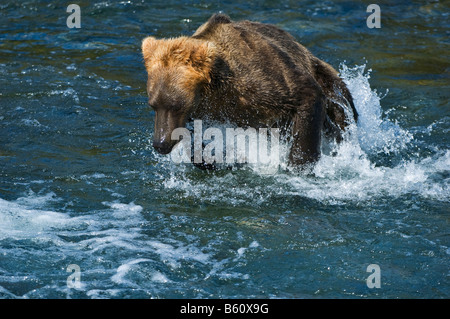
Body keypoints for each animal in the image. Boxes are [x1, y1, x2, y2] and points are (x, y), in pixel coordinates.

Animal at [142, 13, 356, 168]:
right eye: (153, 105)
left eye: (176, 105)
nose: (160, 143)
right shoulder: (208, 109)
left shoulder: (261, 77)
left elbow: (306, 96)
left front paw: (299, 164)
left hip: (327, 80)